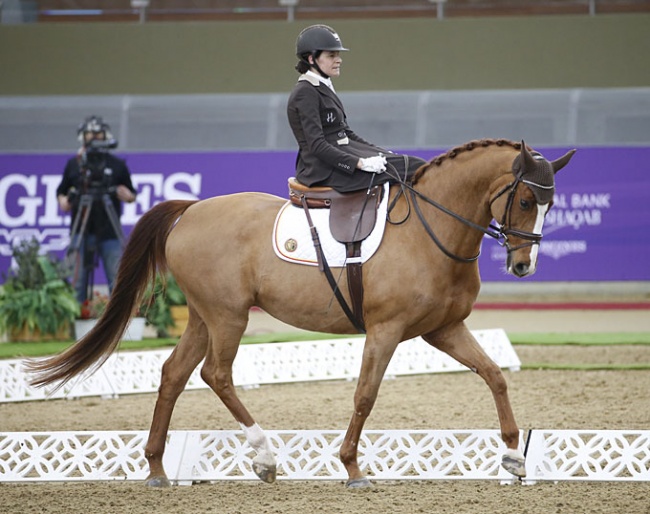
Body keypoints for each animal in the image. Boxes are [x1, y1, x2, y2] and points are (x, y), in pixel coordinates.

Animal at [25, 138, 572, 486]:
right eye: (526, 199)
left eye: (550, 204)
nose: (523, 265)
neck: (430, 229)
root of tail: (191, 209)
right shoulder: (386, 330)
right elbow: (365, 395)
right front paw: (352, 468)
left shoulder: (443, 329)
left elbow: (494, 375)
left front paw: (513, 456)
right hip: (228, 316)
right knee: (215, 374)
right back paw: (265, 457)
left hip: (203, 316)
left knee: (174, 374)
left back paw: (158, 470)